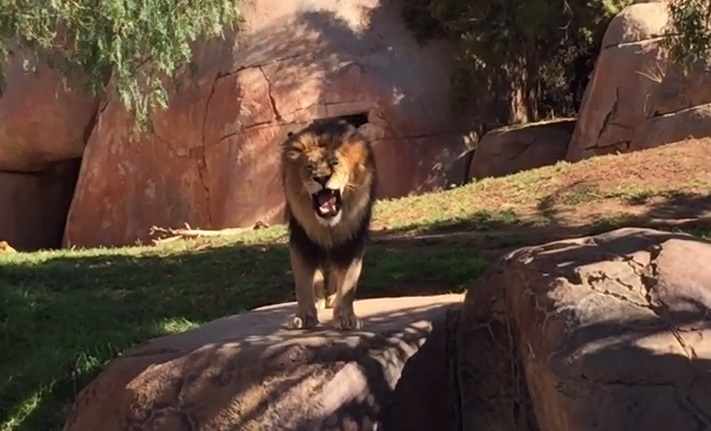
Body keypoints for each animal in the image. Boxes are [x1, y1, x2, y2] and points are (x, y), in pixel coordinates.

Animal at [280, 117, 378, 330]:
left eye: (335, 163)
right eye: (309, 167)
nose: (322, 178)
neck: (327, 224)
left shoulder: (352, 240)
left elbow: (349, 281)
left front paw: (346, 318)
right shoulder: (301, 240)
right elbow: (302, 283)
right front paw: (304, 317)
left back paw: (333, 298)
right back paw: (319, 299)